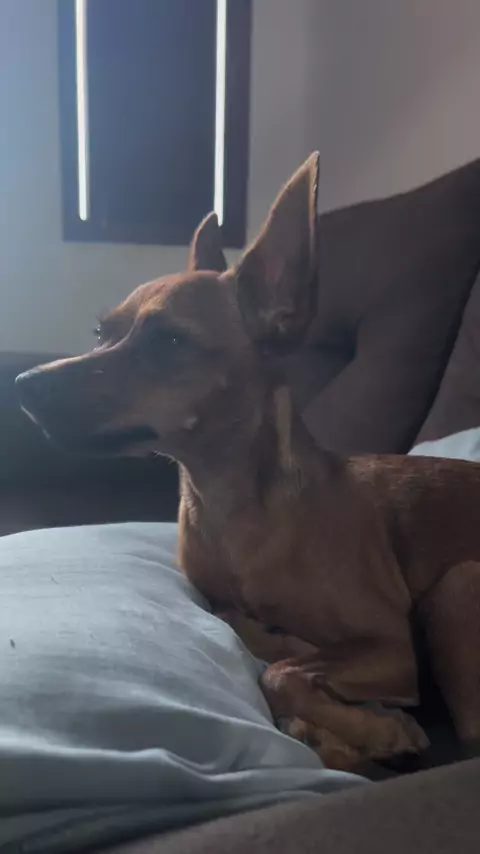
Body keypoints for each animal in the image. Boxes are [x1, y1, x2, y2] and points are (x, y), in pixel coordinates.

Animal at [16, 153, 480, 770]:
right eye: (100, 333)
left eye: (169, 342)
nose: (23, 385)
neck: (228, 499)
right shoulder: (221, 599)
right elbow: (241, 624)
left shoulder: (390, 645)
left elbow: (280, 675)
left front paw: (374, 726)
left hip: (458, 585)